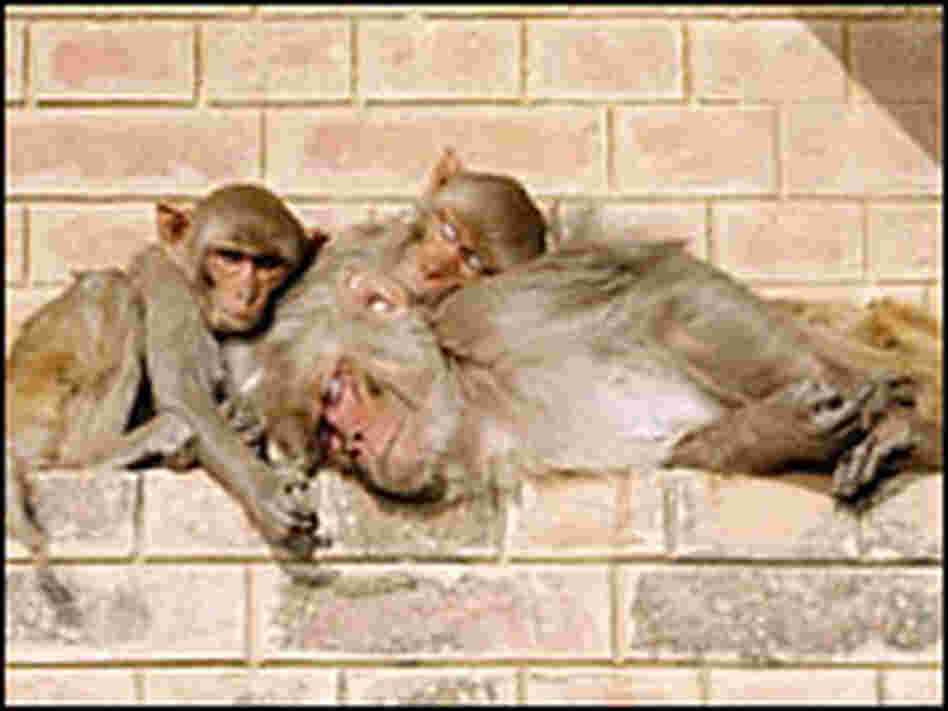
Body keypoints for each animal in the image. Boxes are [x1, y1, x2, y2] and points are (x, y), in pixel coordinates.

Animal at [5, 184, 327, 571]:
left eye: (268, 264)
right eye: (230, 257)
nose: (246, 295)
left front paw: (246, 427)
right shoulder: (168, 283)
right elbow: (181, 391)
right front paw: (262, 489)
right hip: (38, 417)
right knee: (112, 288)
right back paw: (95, 451)